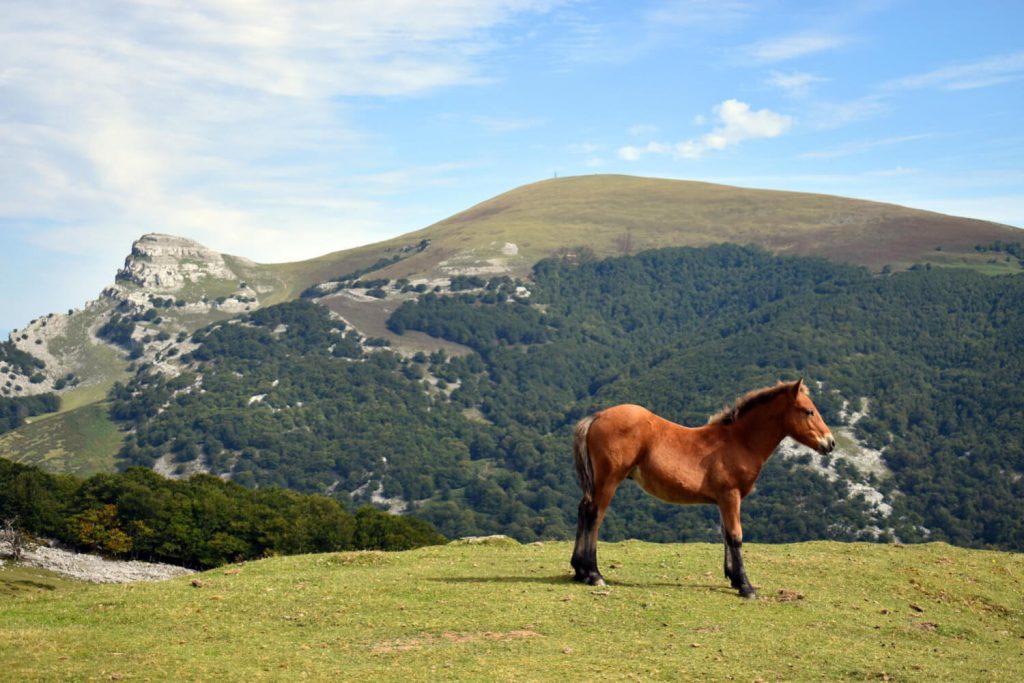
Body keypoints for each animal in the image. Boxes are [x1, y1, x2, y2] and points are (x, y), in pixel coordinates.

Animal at [573, 378, 835, 598]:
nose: (830, 443)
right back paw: (594, 575)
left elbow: (726, 535)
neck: (739, 442)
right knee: (594, 517)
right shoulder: (730, 495)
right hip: (608, 480)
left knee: (584, 511)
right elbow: (736, 536)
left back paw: (579, 571)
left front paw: (733, 578)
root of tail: (597, 416)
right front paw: (746, 587)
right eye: (808, 411)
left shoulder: (723, 499)